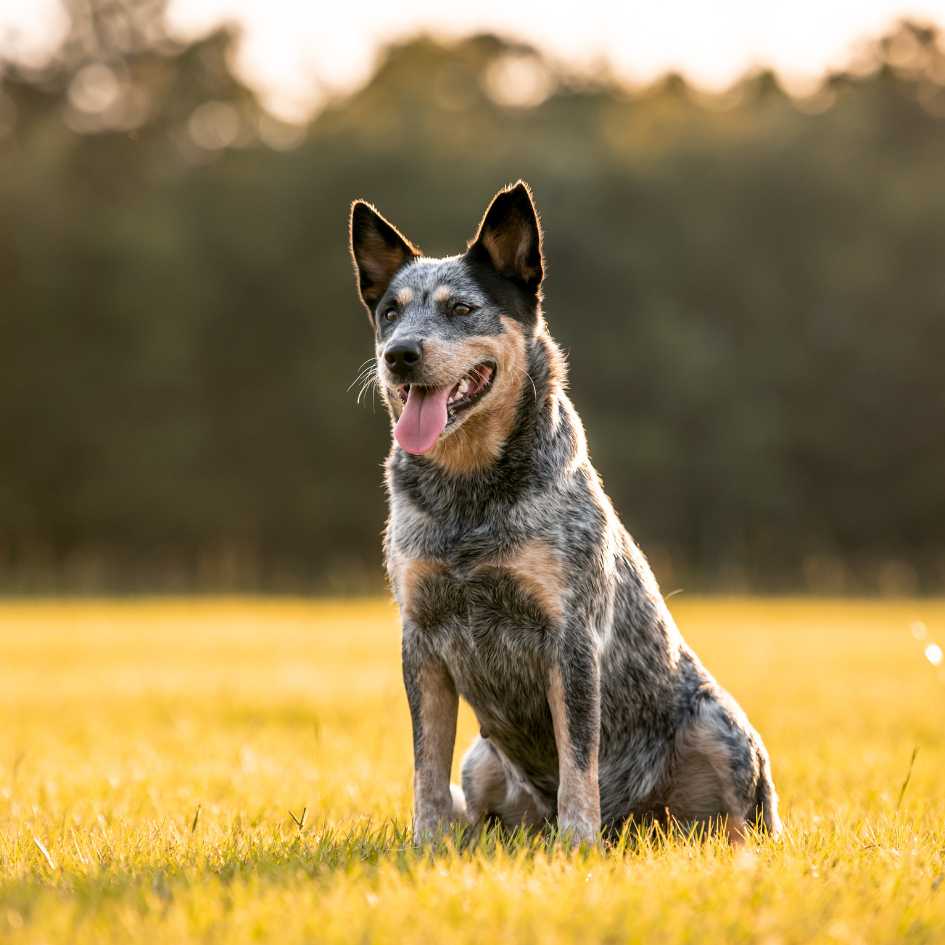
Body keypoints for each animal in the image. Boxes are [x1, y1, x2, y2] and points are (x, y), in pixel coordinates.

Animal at [350, 181, 780, 844]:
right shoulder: (420, 639)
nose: (399, 354)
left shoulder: (571, 635)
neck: (469, 498)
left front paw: (577, 843)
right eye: (390, 312)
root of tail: (633, 825)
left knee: (738, 820)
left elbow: (579, 756)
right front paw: (427, 844)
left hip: (721, 730)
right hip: (483, 760)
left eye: (461, 309)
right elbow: (426, 763)